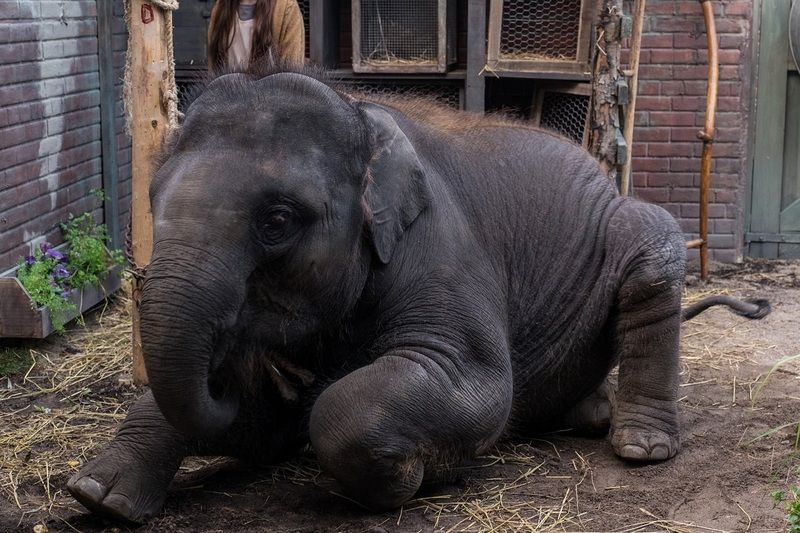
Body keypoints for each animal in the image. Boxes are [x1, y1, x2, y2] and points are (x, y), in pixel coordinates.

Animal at [67, 64, 768, 520]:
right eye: (151, 202)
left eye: (278, 221)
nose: (250, 370)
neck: (362, 116)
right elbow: (260, 424)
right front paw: (96, 497)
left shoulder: (439, 245)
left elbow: (475, 387)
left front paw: (406, 477)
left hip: (629, 233)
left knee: (655, 246)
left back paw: (639, 446)